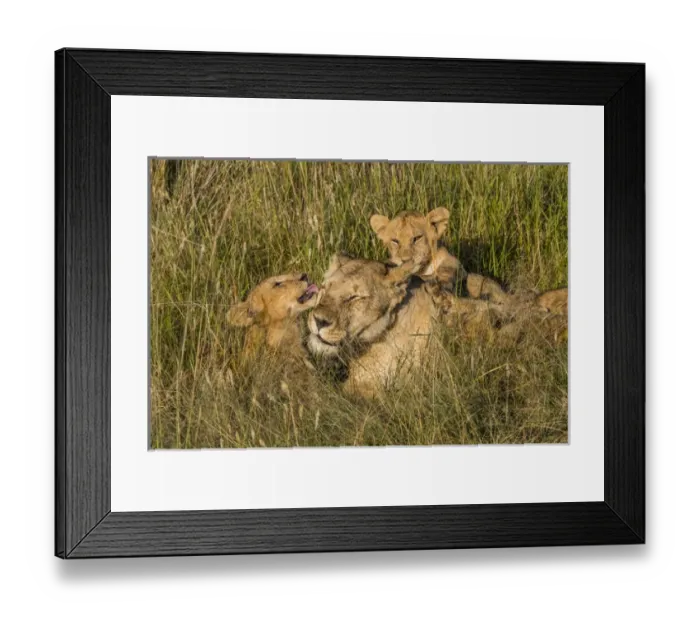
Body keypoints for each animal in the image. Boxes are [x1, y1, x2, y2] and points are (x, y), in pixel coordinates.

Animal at [369, 208, 510, 304]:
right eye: (395, 241)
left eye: (417, 238)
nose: (405, 260)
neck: (423, 269)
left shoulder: (456, 264)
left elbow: (445, 270)